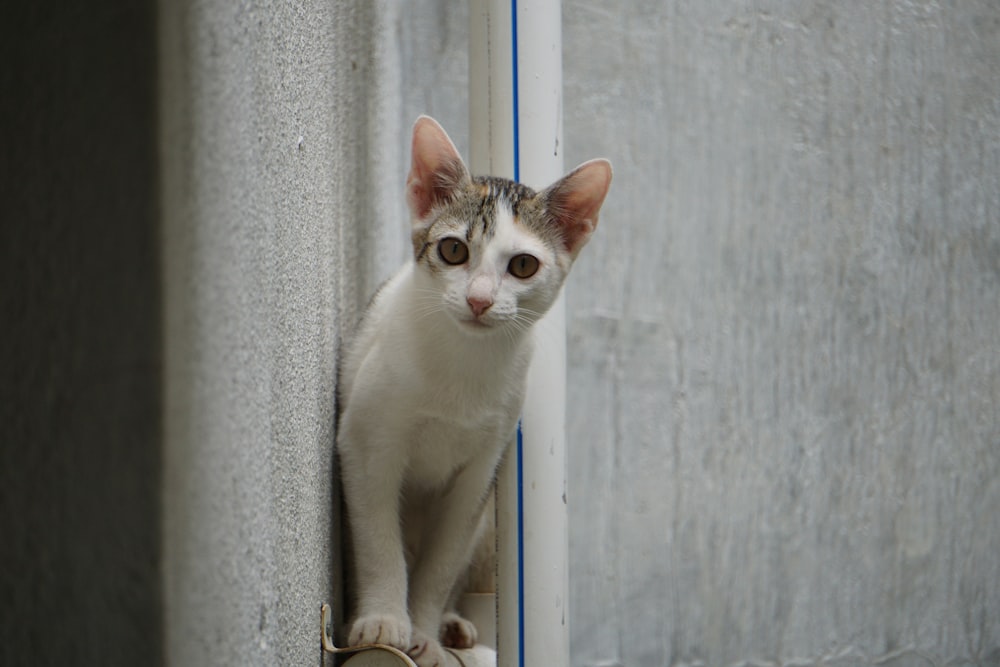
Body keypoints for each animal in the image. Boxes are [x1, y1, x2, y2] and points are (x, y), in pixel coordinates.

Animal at [340, 116, 612, 667]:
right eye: (453, 250)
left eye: (523, 265)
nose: (480, 300)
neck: (463, 364)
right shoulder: (365, 444)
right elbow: (379, 541)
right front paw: (384, 622)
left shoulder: (479, 472)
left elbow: (442, 561)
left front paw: (423, 632)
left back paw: (451, 625)